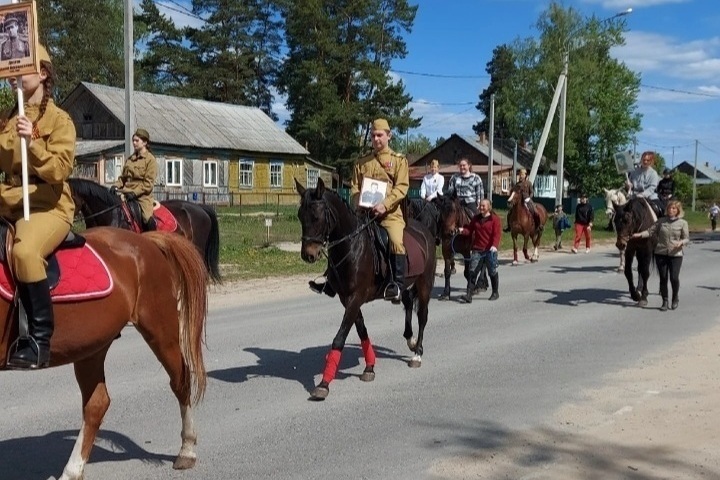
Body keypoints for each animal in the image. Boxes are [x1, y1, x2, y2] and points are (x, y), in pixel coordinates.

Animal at [0, 229, 208, 480]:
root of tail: (145, 240)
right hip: (91, 348)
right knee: (96, 405)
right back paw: (73, 471)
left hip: (161, 332)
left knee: (181, 381)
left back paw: (187, 450)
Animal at [296, 178, 436, 400]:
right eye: (300, 216)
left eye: (317, 217)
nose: (308, 255)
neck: (352, 246)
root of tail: (425, 231)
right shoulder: (347, 298)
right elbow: (362, 330)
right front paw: (369, 367)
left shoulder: (356, 297)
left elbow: (340, 338)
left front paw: (324, 384)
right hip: (406, 285)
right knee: (407, 304)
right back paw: (410, 340)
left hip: (425, 283)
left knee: (422, 316)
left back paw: (417, 354)